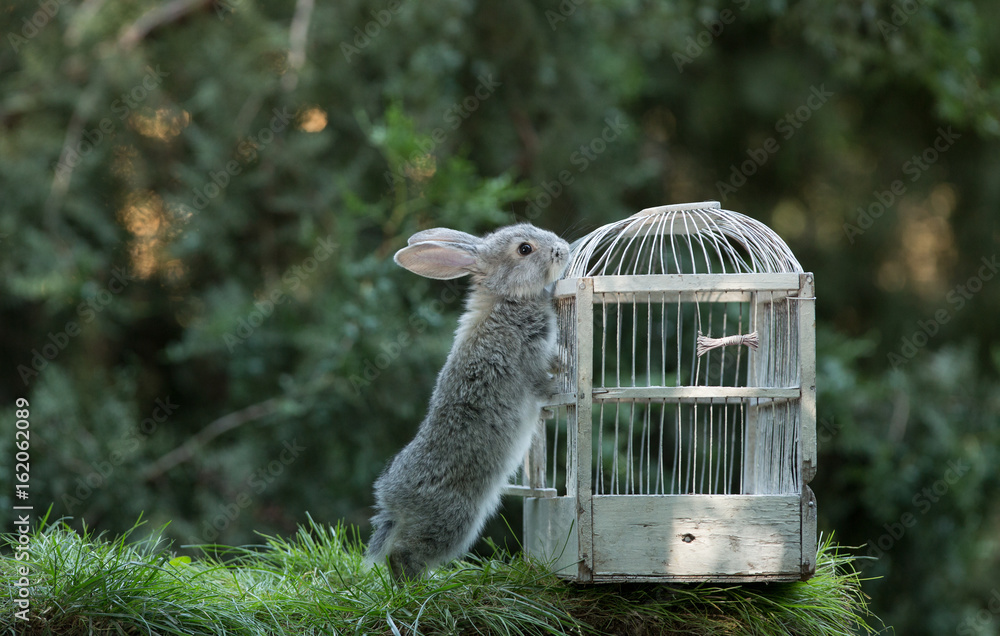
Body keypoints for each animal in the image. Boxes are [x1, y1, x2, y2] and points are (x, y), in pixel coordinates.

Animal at [365, 223, 570, 581]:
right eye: (525, 249)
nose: (564, 249)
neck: (509, 298)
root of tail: (392, 501)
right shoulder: (528, 360)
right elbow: (542, 386)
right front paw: (564, 380)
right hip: (454, 519)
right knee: (403, 554)